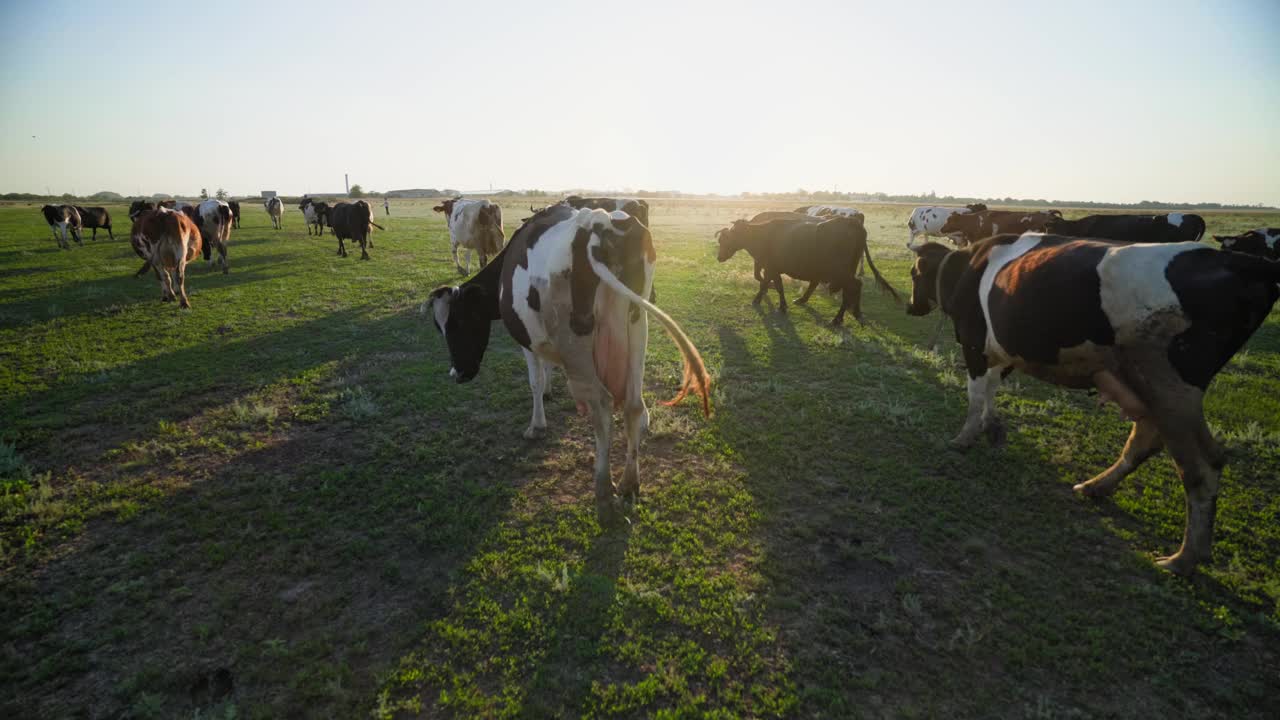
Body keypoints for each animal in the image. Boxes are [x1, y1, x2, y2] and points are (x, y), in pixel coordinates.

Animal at [427, 204, 711, 525]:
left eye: (458, 323)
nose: (458, 373)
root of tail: (599, 224)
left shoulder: (528, 339)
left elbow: (535, 381)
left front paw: (537, 424)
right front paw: (550, 391)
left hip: (579, 345)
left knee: (602, 405)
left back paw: (604, 490)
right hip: (638, 326)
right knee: (633, 405)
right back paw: (629, 483)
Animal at [711, 212, 901, 325]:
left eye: (725, 240)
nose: (719, 257)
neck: (761, 235)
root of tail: (851, 222)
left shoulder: (770, 266)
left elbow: (767, 283)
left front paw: (763, 301)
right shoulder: (772, 268)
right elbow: (773, 284)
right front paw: (778, 304)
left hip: (842, 272)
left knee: (852, 287)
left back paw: (838, 318)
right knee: (854, 287)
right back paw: (856, 312)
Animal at [901, 233, 1280, 573]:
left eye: (915, 274)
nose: (910, 307)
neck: (968, 267)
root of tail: (1244, 263)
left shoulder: (975, 343)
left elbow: (977, 392)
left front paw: (965, 437)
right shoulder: (1007, 350)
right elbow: (992, 388)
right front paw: (991, 427)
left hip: (1170, 388)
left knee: (1202, 466)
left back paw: (1184, 558)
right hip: (1152, 387)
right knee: (1145, 440)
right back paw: (1097, 487)